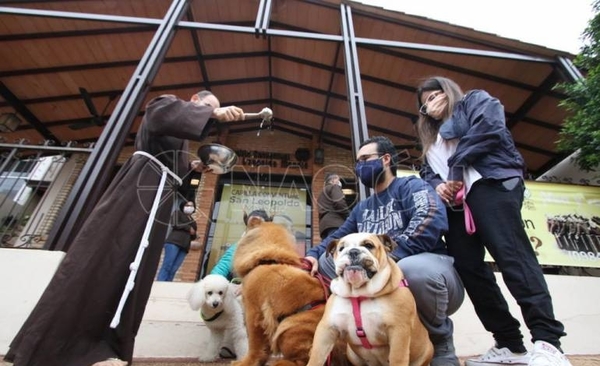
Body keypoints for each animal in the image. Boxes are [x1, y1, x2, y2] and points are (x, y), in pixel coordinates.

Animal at [233, 220, 346, 366]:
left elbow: (254, 345)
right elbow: (264, 348)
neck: (267, 259)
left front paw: (246, 362)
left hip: (289, 326)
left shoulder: (254, 313)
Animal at [308, 233, 434, 366]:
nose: (353, 251)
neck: (359, 294)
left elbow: (397, 358)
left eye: (369, 245)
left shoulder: (399, 331)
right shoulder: (327, 329)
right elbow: (317, 356)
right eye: (341, 248)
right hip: (351, 354)